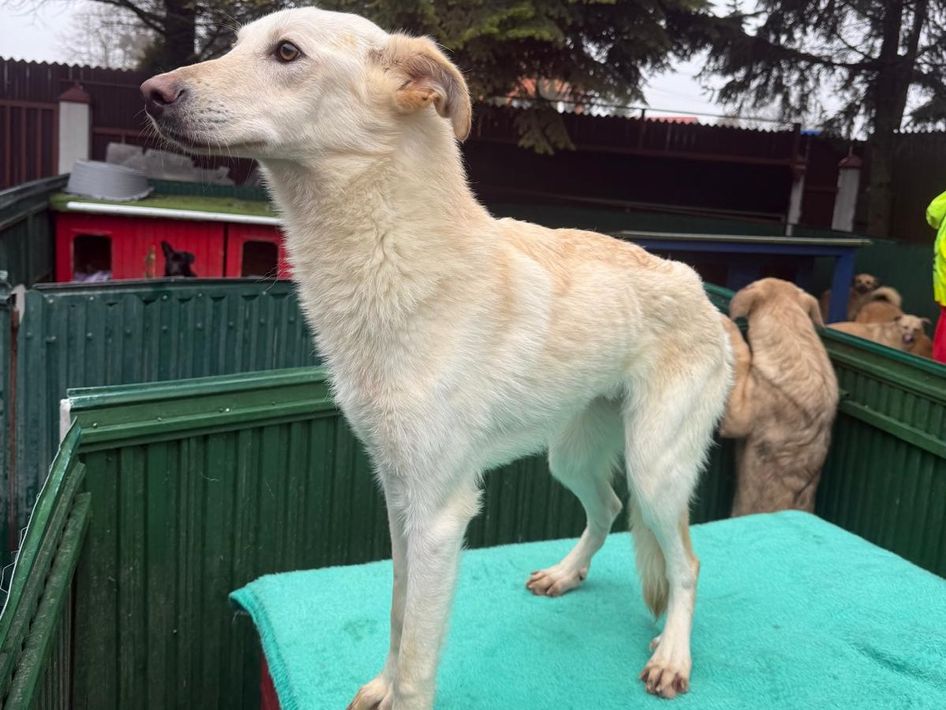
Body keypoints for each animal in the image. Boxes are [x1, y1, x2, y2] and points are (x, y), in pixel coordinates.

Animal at [141, 8, 733, 706]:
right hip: (572, 456)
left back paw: (673, 656)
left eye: (286, 52)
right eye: (236, 44)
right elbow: (398, 615)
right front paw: (379, 686)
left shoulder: (439, 514)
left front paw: (400, 691)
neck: (392, 260)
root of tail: (699, 287)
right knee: (610, 510)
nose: (150, 93)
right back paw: (565, 575)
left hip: (655, 468)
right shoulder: (400, 498)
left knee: (687, 562)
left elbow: (419, 660)